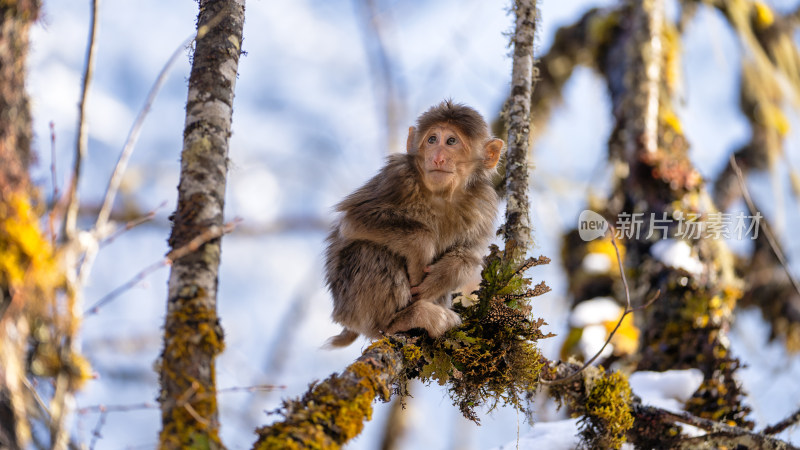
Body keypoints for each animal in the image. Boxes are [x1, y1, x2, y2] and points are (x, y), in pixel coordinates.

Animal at [324, 101, 500, 348]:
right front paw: (421, 247)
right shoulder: (397, 177)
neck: (441, 196)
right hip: (352, 305)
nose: (437, 158)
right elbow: (354, 221)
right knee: (369, 250)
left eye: (451, 141)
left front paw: (438, 280)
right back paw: (396, 321)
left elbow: (470, 255)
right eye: (432, 139)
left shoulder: (484, 203)